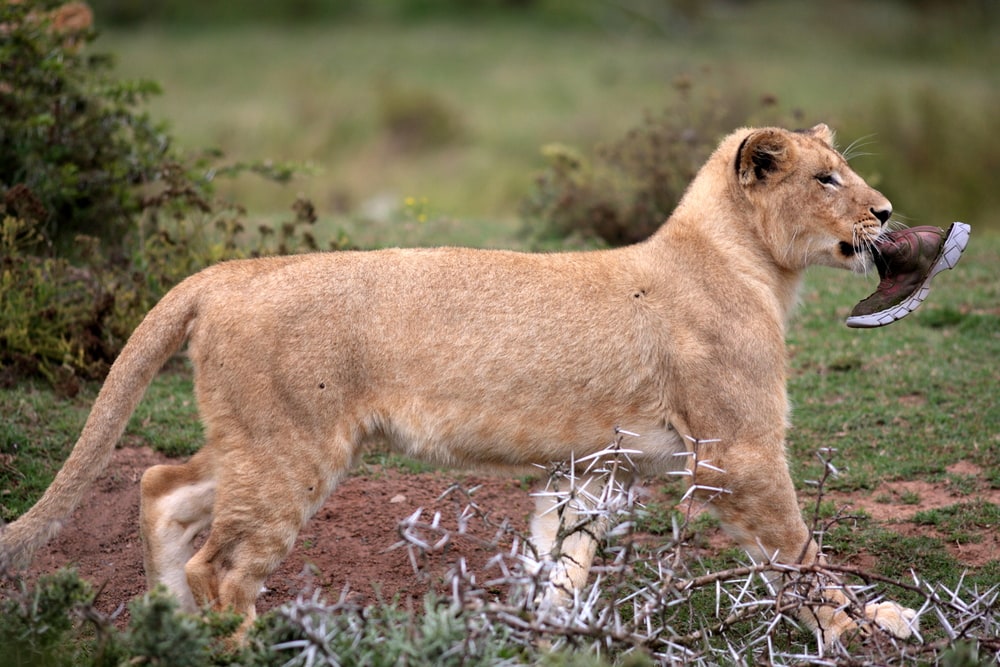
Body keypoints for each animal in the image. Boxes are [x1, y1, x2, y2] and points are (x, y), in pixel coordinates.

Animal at [1, 124, 916, 647]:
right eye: (826, 179)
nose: (885, 212)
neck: (752, 264)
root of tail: (225, 272)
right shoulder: (741, 450)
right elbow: (801, 553)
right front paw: (868, 622)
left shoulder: (597, 467)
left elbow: (560, 567)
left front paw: (549, 637)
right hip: (292, 449)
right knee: (221, 569)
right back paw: (233, 642)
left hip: (256, 441)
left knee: (161, 487)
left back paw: (168, 633)